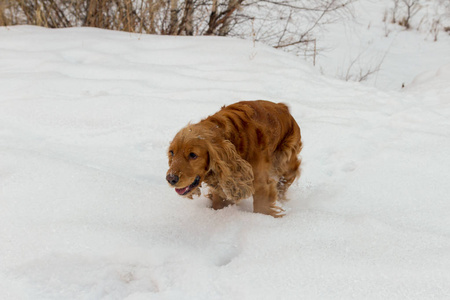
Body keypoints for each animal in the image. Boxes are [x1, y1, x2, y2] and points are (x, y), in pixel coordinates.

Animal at [165, 101, 302, 218]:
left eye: (193, 155)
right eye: (172, 152)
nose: (171, 178)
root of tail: (282, 106)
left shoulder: (261, 183)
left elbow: (261, 207)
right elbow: (219, 202)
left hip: (285, 161)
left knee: (287, 179)